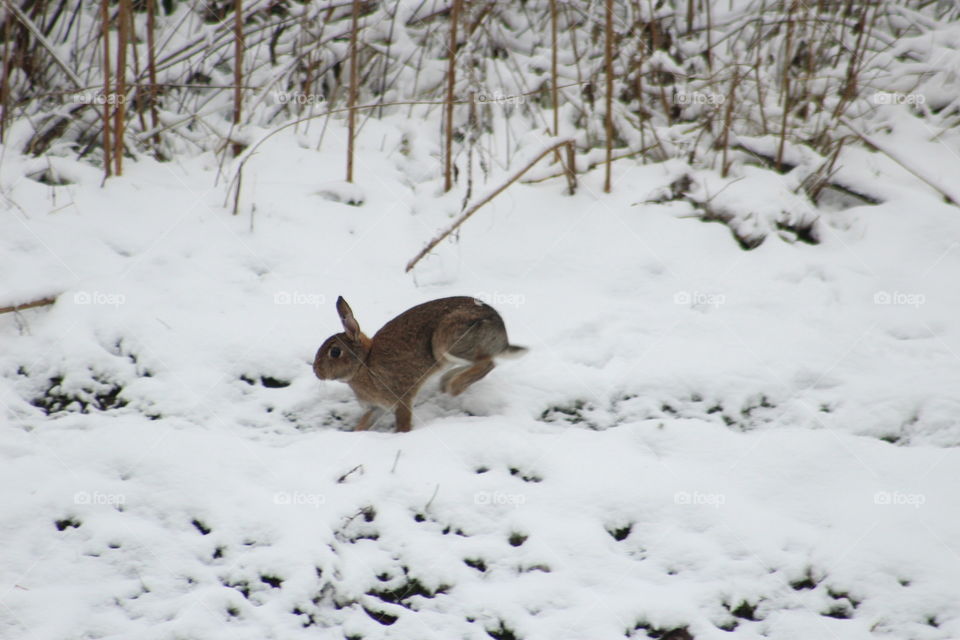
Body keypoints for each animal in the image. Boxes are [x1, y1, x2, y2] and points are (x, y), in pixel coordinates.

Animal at [314, 296, 526, 432]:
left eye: (335, 352)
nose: (316, 371)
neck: (363, 364)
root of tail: (502, 334)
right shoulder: (374, 408)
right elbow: (363, 424)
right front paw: (357, 432)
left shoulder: (401, 400)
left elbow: (403, 425)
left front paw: (402, 435)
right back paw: (447, 383)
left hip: (446, 342)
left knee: (488, 363)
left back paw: (455, 387)